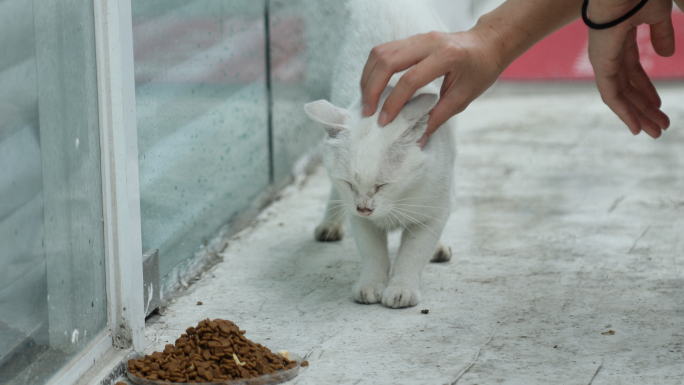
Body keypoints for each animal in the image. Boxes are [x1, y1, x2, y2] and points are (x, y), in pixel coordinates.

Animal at [304, 0, 454, 308]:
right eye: (350, 183)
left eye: (383, 185)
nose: (364, 207)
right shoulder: (359, 218)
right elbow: (373, 253)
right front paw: (371, 284)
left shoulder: (434, 212)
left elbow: (412, 254)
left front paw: (402, 288)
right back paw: (329, 223)